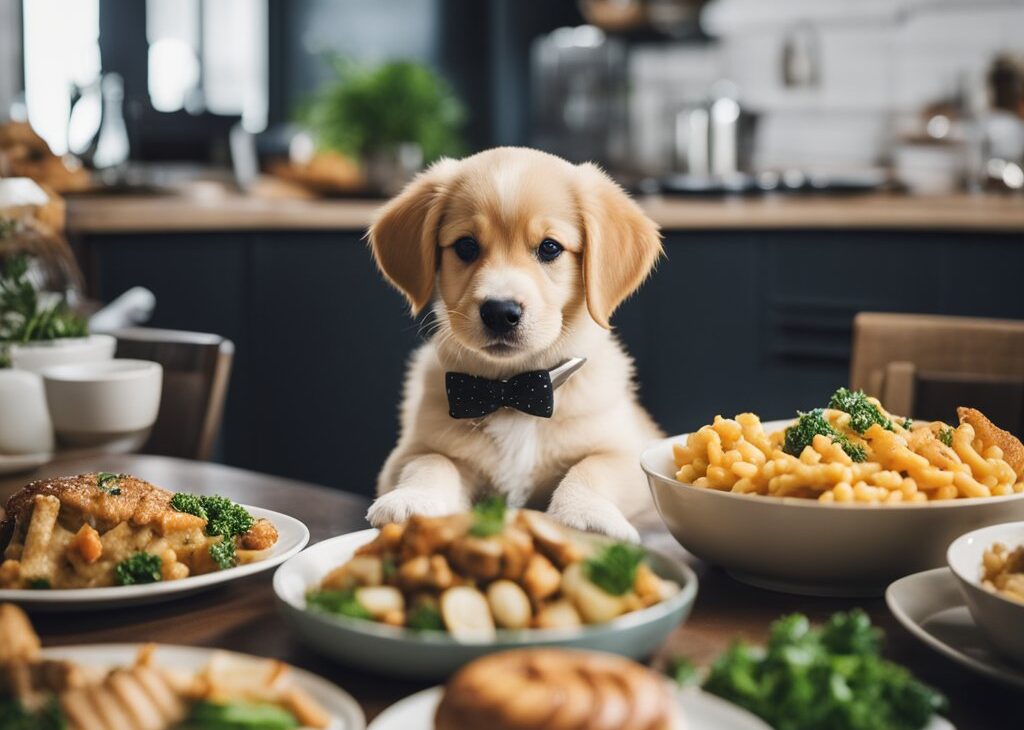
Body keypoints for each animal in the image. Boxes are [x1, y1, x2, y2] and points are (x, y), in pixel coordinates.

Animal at [368, 146, 663, 540]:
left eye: (550, 248)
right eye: (466, 246)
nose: (499, 312)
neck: (513, 390)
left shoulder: (628, 449)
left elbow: (594, 468)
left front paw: (585, 514)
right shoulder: (407, 452)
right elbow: (431, 460)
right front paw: (412, 500)